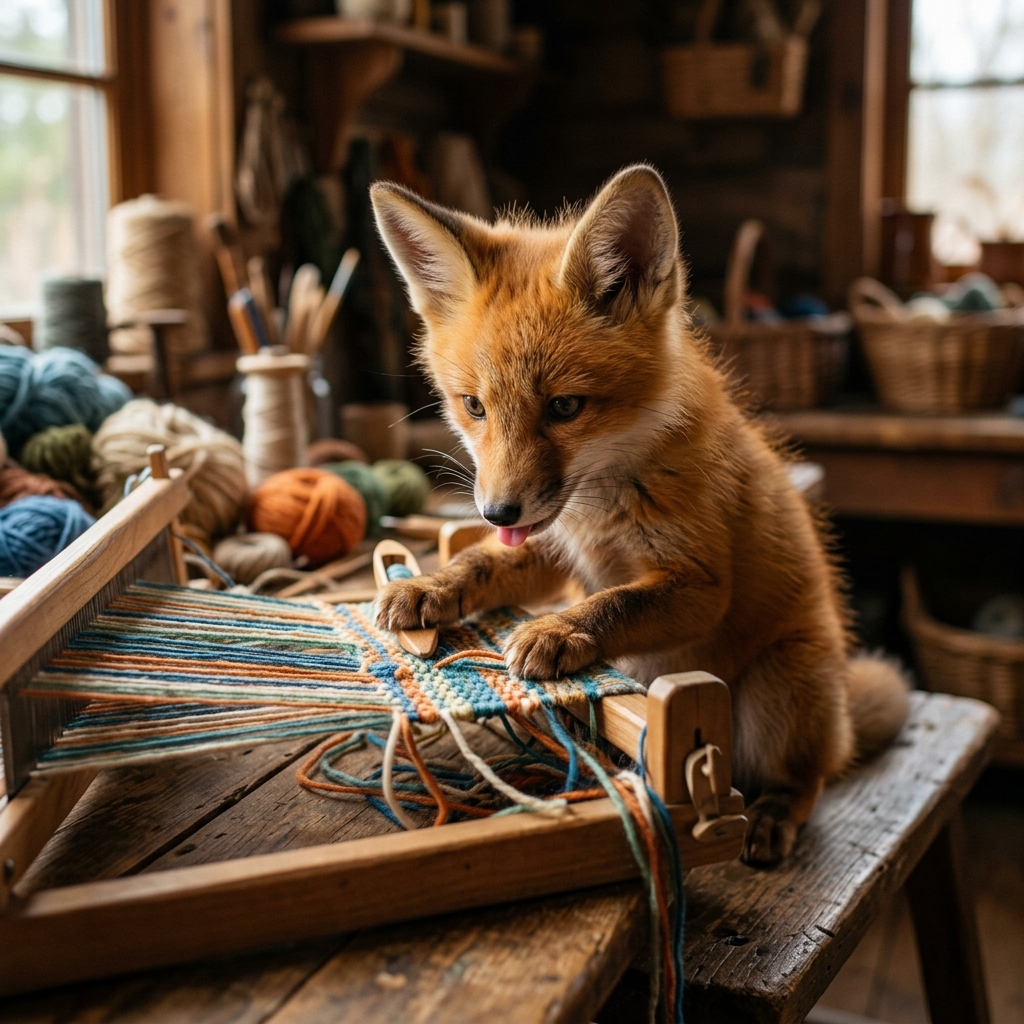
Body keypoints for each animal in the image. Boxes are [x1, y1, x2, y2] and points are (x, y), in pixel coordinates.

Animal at [369, 164, 909, 865]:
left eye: (565, 407)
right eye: (474, 406)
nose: (494, 510)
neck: (602, 507)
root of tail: (840, 712)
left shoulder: (700, 584)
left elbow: (615, 604)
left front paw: (556, 632)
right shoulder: (556, 551)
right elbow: (480, 565)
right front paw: (430, 586)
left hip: (778, 691)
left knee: (809, 777)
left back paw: (772, 815)